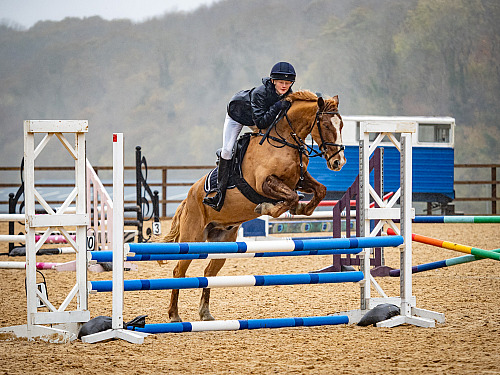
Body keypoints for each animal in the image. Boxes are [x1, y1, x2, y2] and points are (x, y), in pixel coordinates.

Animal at [162, 91, 346, 324]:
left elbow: (319, 190)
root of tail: (188, 198)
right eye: (326, 124)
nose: (338, 162)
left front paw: (300, 210)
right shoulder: (264, 183)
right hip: (192, 239)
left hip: (223, 242)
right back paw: (174, 315)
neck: (285, 140)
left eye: (341, 125)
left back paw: (205, 313)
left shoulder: (299, 179)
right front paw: (267, 208)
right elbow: (290, 197)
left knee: (209, 274)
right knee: (179, 271)